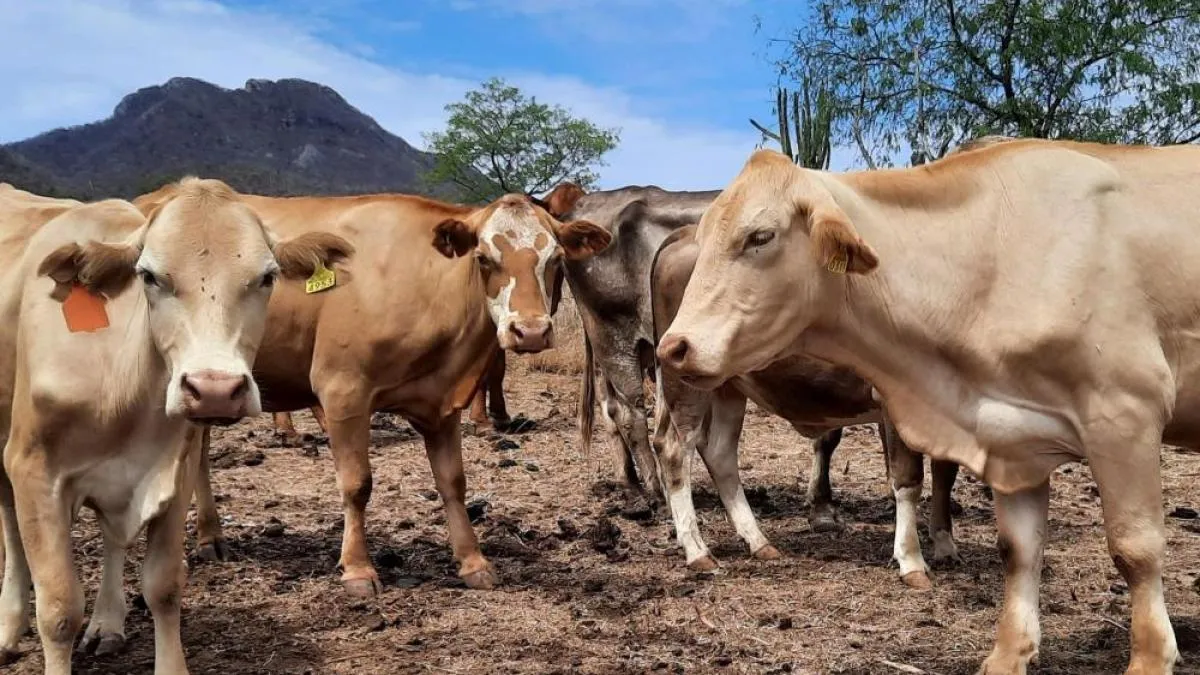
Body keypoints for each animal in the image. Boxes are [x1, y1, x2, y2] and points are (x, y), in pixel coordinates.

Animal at [0, 179, 352, 674]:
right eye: (149, 276)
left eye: (267, 277)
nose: (215, 389)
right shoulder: (34, 471)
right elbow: (58, 608)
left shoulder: (173, 471)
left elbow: (163, 586)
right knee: (11, 529)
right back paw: (10, 626)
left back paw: (107, 623)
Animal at [131, 187, 611, 597]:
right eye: (484, 257)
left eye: (554, 258)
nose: (529, 331)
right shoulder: (343, 391)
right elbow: (357, 485)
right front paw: (358, 569)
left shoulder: (440, 405)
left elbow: (453, 482)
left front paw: (473, 561)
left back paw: (210, 536)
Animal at [650, 224, 959, 588]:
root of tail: (685, 233)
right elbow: (908, 479)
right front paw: (912, 561)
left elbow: (945, 475)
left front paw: (945, 544)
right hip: (683, 383)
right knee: (674, 449)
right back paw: (697, 550)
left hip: (729, 387)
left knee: (720, 452)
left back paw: (758, 541)